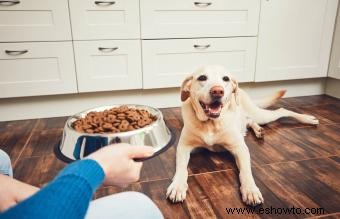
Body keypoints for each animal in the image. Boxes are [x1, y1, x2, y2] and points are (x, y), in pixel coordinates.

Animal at [166, 65, 320, 205]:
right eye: (202, 78)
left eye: (225, 79)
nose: (218, 91)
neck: (211, 124)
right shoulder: (183, 147)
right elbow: (181, 168)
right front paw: (177, 186)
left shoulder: (240, 149)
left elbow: (246, 171)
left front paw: (250, 190)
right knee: (249, 121)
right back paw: (258, 130)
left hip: (260, 115)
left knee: (281, 111)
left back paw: (308, 119)